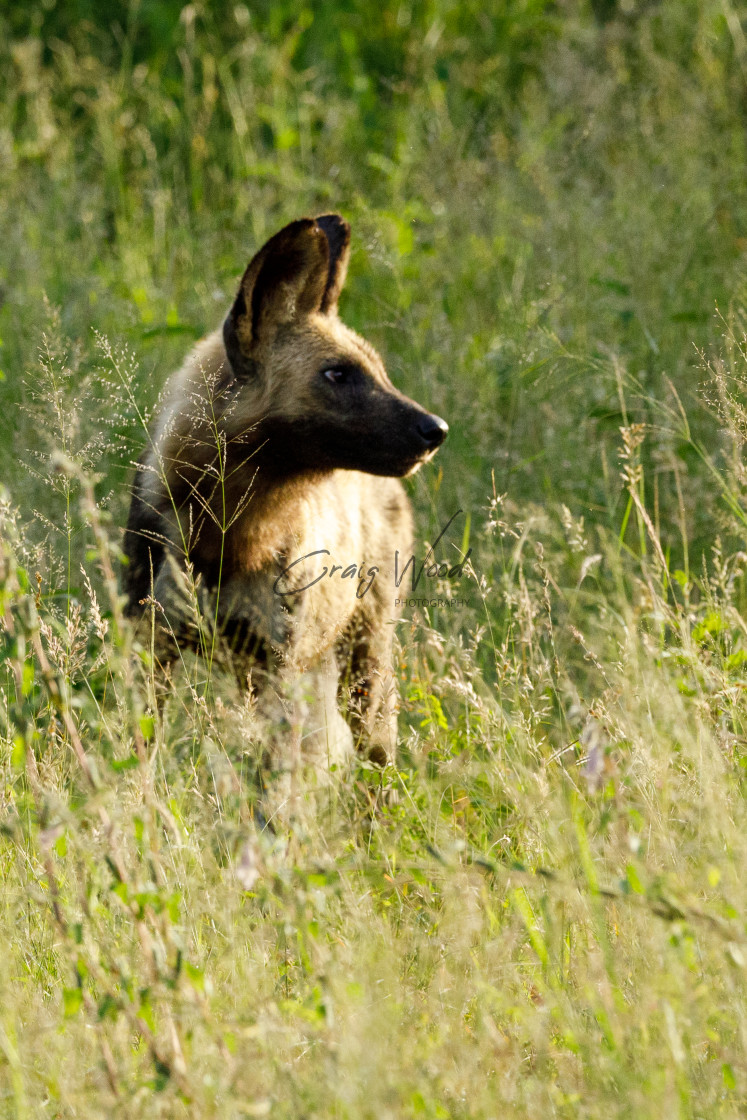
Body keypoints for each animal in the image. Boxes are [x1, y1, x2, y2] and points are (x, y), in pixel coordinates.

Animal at [123, 216, 447, 779]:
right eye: (337, 374)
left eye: (380, 372)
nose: (437, 430)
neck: (229, 527)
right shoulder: (151, 653)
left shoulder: (281, 675)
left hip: (363, 677)